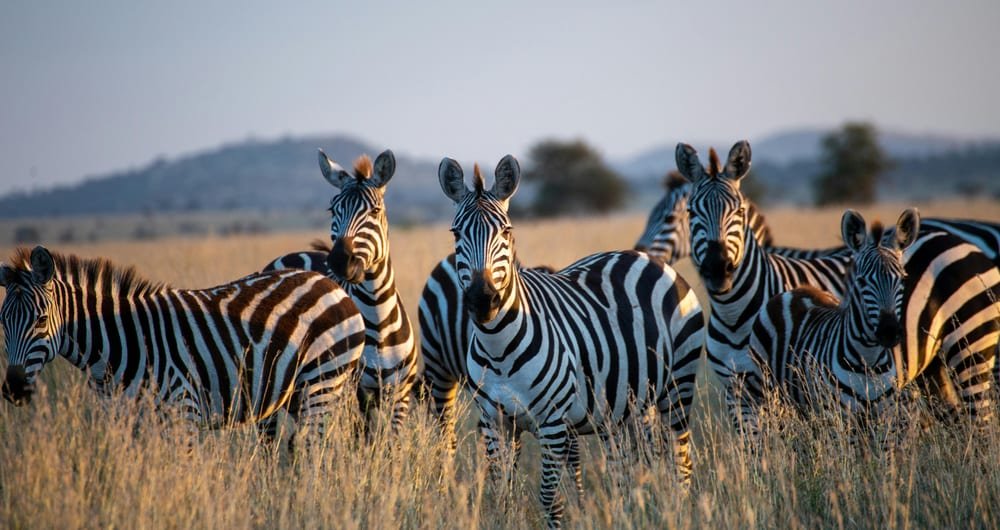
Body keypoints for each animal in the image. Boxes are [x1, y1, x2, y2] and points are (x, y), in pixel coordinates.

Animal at [0, 246, 366, 445]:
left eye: (41, 320)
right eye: (2, 323)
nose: (13, 389)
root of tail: (328, 282)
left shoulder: (182, 411)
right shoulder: (124, 422)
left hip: (322, 381)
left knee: (315, 449)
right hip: (296, 393)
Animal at [263, 149, 419, 436]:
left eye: (375, 210)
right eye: (332, 209)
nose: (338, 261)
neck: (378, 318)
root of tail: (293, 255)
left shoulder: (399, 396)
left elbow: (390, 443)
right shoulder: (353, 395)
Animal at [438, 154, 705, 528]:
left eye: (506, 232)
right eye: (456, 233)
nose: (482, 299)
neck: (498, 347)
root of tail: (647, 258)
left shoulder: (552, 423)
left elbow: (550, 499)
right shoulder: (494, 422)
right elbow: (501, 495)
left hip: (677, 387)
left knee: (680, 463)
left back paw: (678, 511)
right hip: (625, 408)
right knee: (628, 471)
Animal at [741, 209, 918, 443]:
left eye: (903, 280)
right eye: (861, 281)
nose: (889, 332)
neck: (868, 361)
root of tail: (795, 291)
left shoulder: (886, 419)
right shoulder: (840, 420)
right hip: (764, 391)